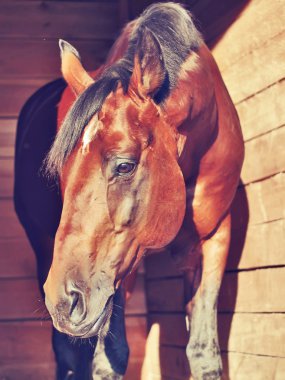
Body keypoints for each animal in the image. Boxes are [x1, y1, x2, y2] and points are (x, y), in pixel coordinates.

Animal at [26, 2, 242, 380]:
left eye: (124, 165)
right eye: (61, 173)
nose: (63, 301)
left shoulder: (216, 235)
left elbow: (203, 353)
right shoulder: (119, 265)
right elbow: (110, 357)